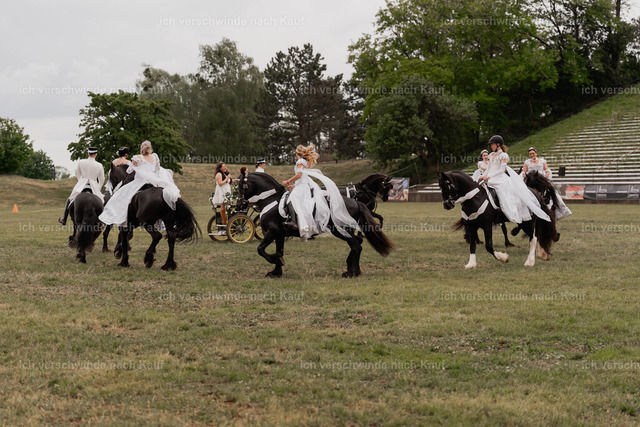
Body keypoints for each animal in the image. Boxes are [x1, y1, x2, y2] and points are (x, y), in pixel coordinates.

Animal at [237, 171, 394, 278]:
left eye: (242, 187)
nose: (239, 205)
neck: (270, 200)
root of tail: (355, 201)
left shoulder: (272, 231)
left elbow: (260, 249)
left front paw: (276, 261)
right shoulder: (279, 234)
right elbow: (279, 251)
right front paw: (276, 271)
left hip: (340, 230)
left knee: (356, 245)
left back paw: (352, 272)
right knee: (358, 243)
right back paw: (351, 268)